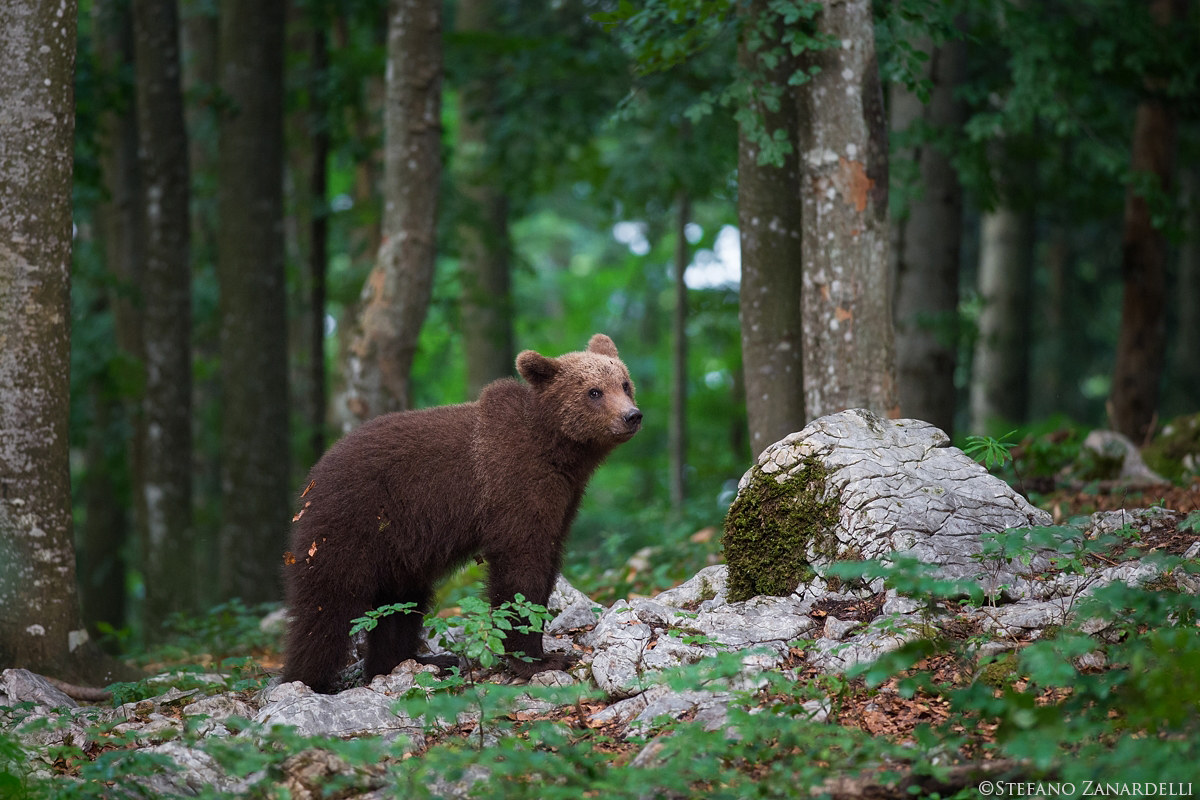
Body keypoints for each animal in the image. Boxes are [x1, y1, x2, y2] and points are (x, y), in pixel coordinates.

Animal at [281, 334, 641, 693]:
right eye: (594, 391)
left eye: (624, 384)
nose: (632, 416)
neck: (557, 451)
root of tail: (313, 478)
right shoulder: (513, 485)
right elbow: (521, 569)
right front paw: (537, 659)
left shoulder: (563, 499)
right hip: (349, 525)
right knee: (327, 607)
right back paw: (307, 680)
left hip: (398, 551)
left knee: (400, 604)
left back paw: (417, 661)